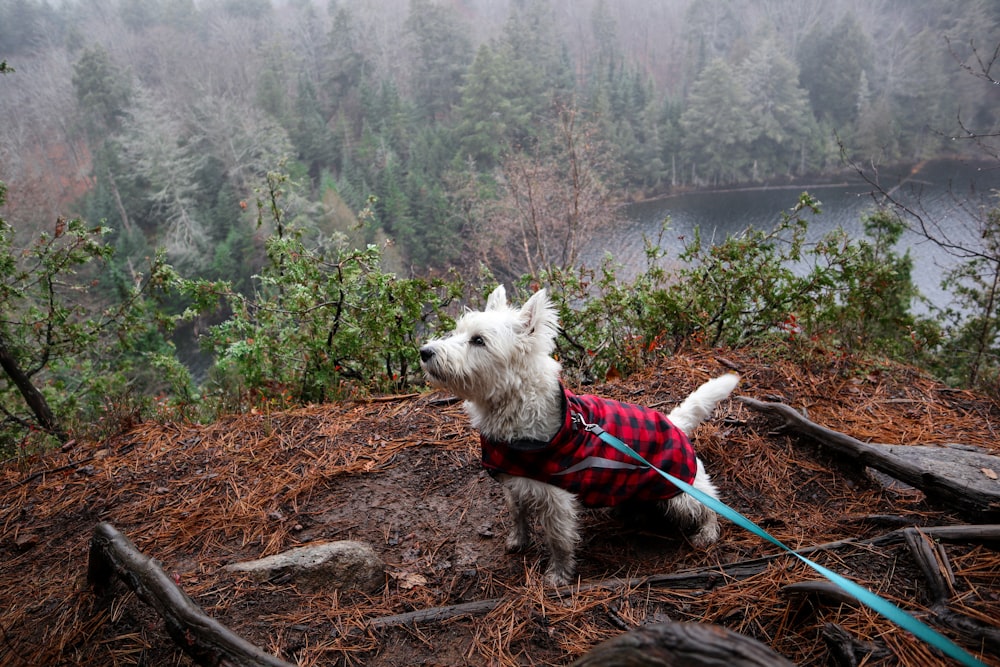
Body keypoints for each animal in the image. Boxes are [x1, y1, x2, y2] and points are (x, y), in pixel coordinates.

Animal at [418, 284, 740, 588]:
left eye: (478, 340)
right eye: (458, 331)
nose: (425, 352)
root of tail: (675, 423)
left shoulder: (557, 498)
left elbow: (559, 540)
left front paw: (558, 576)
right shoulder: (513, 481)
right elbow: (517, 514)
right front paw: (518, 541)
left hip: (679, 490)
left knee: (710, 503)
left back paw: (707, 532)